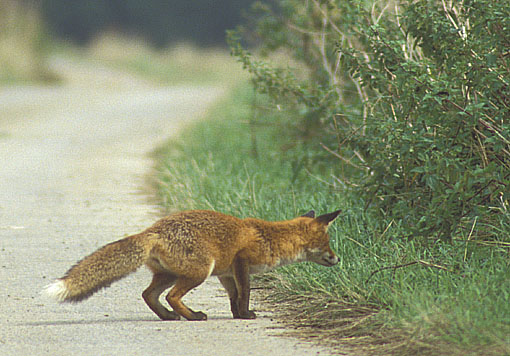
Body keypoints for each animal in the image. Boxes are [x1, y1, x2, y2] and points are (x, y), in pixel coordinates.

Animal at [43, 209, 338, 320]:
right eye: (327, 242)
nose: (338, 258)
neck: (270, 238)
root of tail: (153, 230)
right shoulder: (241, 263)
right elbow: (245, 293)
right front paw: (245, 315)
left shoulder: (225, 274)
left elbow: (234, 296)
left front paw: (236, 314)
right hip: (198, 273)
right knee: (172, 297)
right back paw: (193, 316)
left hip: (170, 275)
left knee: (148, 295)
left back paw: (168, 316)